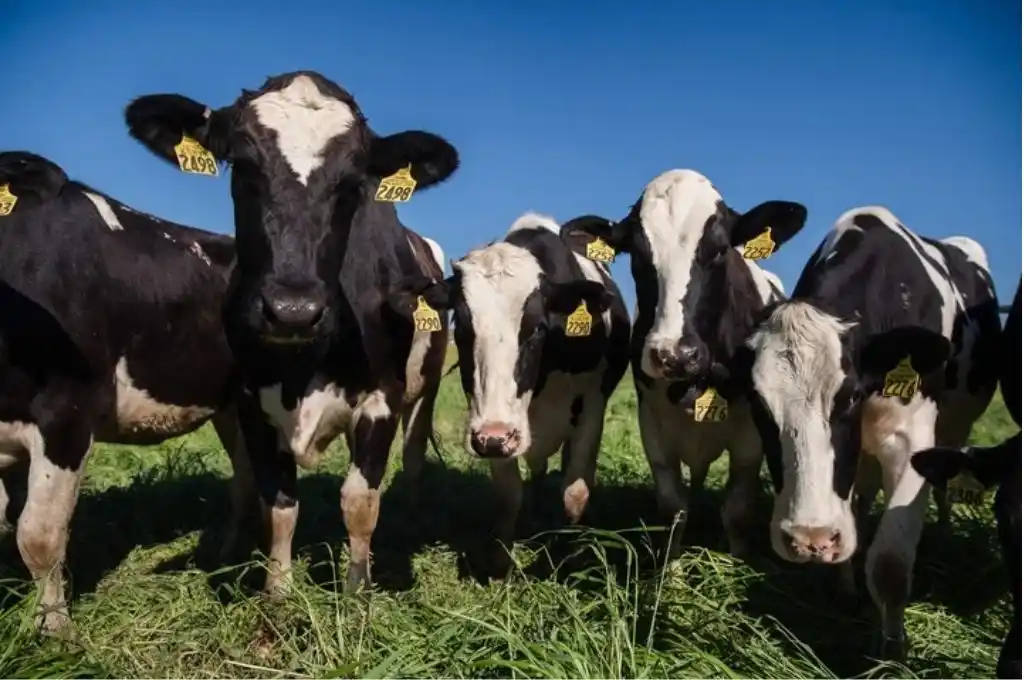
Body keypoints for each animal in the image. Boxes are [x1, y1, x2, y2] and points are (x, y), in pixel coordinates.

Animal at [122, 71, 458, 593]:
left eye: (354, 181)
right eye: (242, 166)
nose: (293, 311)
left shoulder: (382, 397)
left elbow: (359, 500)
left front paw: (357, 591)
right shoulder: (250, 402)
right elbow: (277, 504)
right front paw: (277, 593)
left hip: (424, 391)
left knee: (415, 454)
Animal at [388, 212, 631, 576]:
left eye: (539, 327)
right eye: (461, 326)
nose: (493, 437)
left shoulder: (592, 406)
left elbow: (575, 491)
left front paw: (569, 553)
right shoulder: (493, 427)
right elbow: (509, 495)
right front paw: (501, 564)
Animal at [554, 169, 808, 559]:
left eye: (720, 249)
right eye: (638, 256)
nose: (674, 354)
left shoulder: (749, 439)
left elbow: (737, 512)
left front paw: (736, 561)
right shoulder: (652, 426)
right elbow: (673, 508)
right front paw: (669, 569)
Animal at [736, 205, 1002, 658]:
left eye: (850, 396)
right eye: (758, 403)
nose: (810, 537)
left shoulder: (911, 440)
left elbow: (891, 563)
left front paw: (892, 651)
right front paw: (845, 589)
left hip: (955, 427)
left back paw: (944, 534)